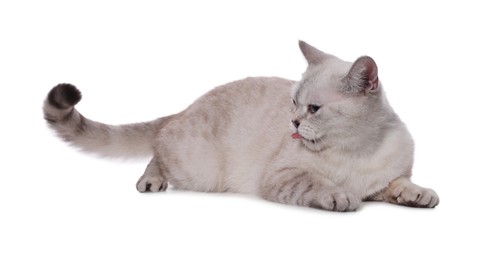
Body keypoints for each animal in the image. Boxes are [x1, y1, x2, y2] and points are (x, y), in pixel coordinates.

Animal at [43, 40, 440, 211]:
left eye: (313, 108)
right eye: (293, 103)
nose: (294, 121)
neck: (356, 150)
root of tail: (187, 107)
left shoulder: (386, 178)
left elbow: (398, 184)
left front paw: (418, 194)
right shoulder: (283, 176)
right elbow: (318, 184)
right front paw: (341, 196)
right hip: (199, 168)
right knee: (158, 147)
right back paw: (151, 181)